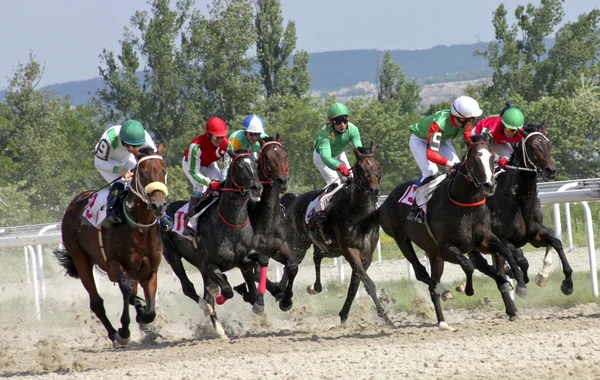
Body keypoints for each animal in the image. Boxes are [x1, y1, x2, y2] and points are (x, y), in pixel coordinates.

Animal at [53, 145, 168, 348]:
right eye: (142, 173)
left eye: (163, 170)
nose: (158, 205)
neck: (140, 229)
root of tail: (75, 201)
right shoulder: (114, 266)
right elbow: (126, 288)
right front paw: (124, 331)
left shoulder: (150, 271)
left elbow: (150, 310)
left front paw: (144, 316)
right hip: (80, 259)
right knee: (96, 302)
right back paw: (114, 333)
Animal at [159, 148, 262, 338]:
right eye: (240, 166)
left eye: (255, 164)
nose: (256, 188)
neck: (231, 223)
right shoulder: (209, 265)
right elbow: (226, 290)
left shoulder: (243, 261)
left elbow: (251, 282)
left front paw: (257, 302)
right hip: (172, 256)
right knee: (190, 289)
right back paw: (211, 315)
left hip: (198, 265)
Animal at [282, 143, 392, 326]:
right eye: (361, 168)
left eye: (378, 165)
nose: (375, 190)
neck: (359, 213)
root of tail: (294, 201)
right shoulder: (350, 250)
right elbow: (368, 283)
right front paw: (386, 318)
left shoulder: (366, 254)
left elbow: (355, 285)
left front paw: (344, 315)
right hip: (299, 243)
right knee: (291, 266)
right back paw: (283, 300)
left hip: (328, 248)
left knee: (316, 257)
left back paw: (313, 288)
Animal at [380, 134, 524, 330]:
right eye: (475, 159)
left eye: (492, 157)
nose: (489, 185)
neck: (466, 202)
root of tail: (384, 203)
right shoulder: (447, 248)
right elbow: (468, 266)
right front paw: (468, 289)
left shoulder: (484, 240)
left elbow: (505, 251)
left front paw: (519, 281)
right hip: (403, 240)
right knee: (421, 273)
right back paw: (444, 293)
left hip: (434, 254)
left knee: (436, 282)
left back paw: (442, 320)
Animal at [468, 123, 572, 296]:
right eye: (532, 146)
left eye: (549, 143)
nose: (551, 170)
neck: (518, 198)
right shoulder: (502, 238)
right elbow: (518, 257)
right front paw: (521, 283)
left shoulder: (535, 235)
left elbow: (556, 242)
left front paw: (566, 283)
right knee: (485, 263)